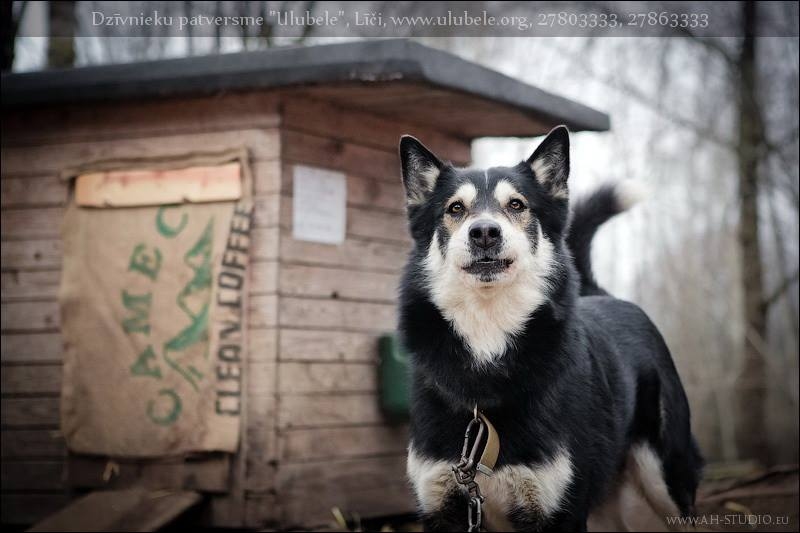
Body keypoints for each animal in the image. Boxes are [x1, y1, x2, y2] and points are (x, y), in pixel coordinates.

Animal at [396, 127, 704, 528]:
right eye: (455, 209)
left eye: (516, 205)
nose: (484, 232)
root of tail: (600, 293)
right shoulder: (442, 503)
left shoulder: (559, 509)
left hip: (666, 478)